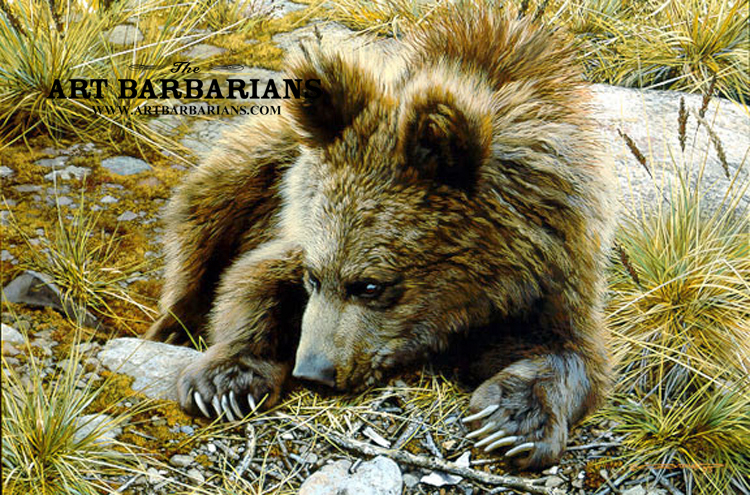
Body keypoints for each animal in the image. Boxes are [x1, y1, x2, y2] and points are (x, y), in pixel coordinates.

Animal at [145, 2, 616, 470]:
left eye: (372, 285)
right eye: (313, 277)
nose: (313, 371)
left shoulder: (554, 270)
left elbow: (573, 351)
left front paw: (514, 420)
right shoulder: (296, 230)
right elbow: (252, 281)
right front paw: (224, 382)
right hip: (257, 163)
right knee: (204, 221)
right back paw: (172, 324)